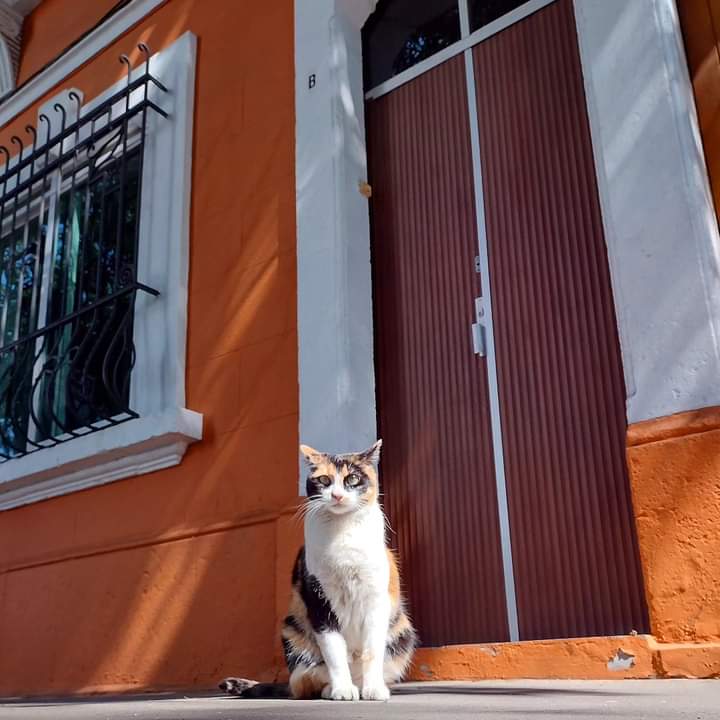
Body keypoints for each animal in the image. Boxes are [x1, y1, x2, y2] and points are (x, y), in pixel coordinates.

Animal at [219, 442, 416, 700]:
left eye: (353, 478)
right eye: (324, 479)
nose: (337, 495)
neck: (342, 533)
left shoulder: (377, 599)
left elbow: (372, 650)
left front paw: (374, 690)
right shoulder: (318, 600)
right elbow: (334, 652)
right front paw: (342, 690)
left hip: (403, 632)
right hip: (293, 630)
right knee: (306, 681)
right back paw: (334, 689)